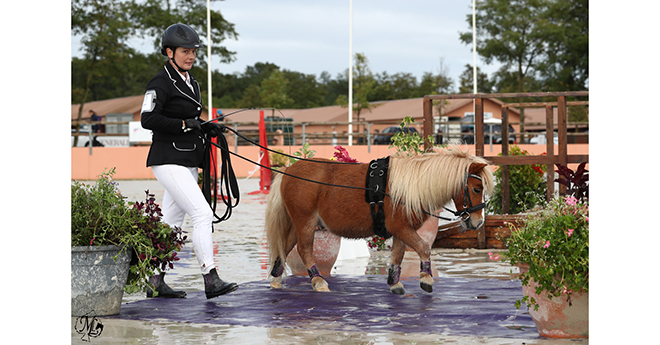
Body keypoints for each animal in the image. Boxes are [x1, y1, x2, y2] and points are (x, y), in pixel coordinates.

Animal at [266, 145, 492, 292]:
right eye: (476, 188)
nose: (478, 221)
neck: (410, 186)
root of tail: (289, 170)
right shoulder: (401, 229)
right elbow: (424, 248)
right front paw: (426, 278)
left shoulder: (402, 231)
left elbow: (398, 256)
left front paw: (395, 282)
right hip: (305, 222)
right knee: (304, 249)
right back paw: (318, 281)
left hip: (298, 223)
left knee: (285, 247)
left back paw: (276, 279)